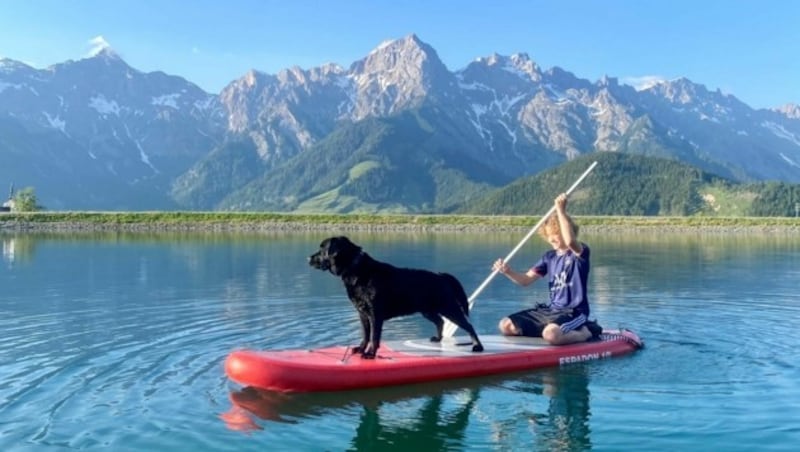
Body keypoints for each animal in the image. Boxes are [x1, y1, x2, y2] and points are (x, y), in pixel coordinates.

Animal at [310, 235, 484, 358]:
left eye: (322, 249)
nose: (309, 258)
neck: (357, 268)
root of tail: (441, 275)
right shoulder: (362, 314)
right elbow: (365, 335)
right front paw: (360, 349)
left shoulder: (375, 314)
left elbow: (374, 337)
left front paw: (370, 354)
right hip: (428, 310)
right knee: (440, 321)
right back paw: (438, 339)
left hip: (449, 308)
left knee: (468, 325)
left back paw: (478, 346)